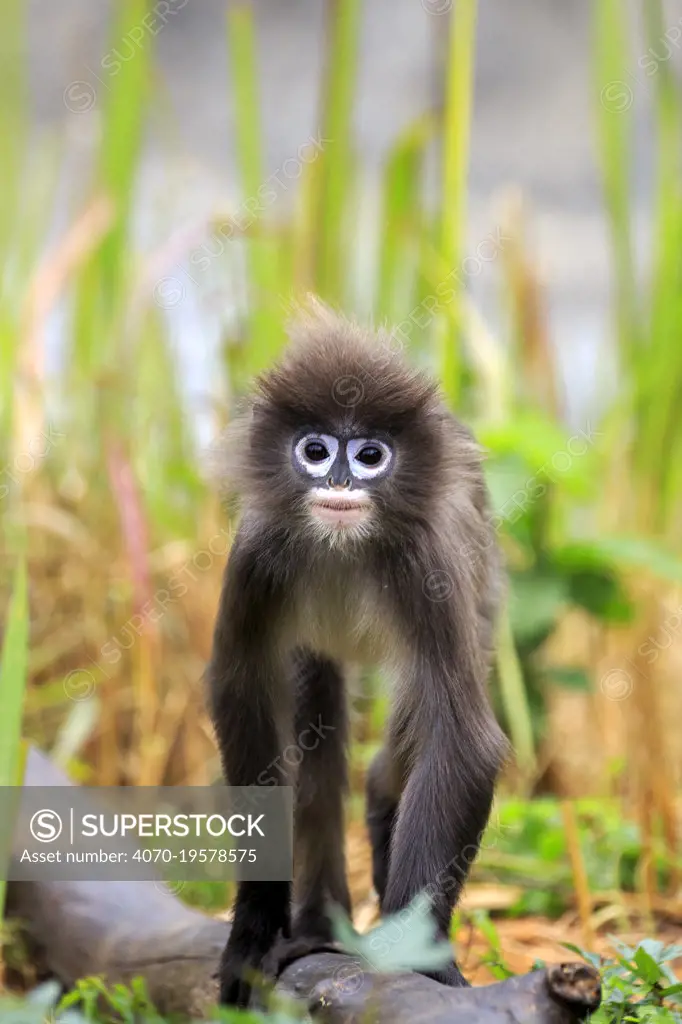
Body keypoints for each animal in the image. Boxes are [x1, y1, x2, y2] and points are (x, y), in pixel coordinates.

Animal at [206, 301, 503, 1007]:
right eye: (315, 451)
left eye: (370, 455)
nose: (340, 482)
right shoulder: (255, 557)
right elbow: (243, 703)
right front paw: (254, 928)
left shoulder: (428, 564)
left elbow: (462, 740)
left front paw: (411, 958)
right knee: (318, 733)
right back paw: (318, 926)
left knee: (400, 749)